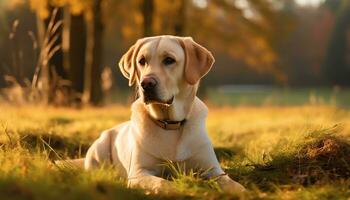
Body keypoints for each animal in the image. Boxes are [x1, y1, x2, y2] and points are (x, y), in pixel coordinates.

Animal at [65, 36, 243, 194]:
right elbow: (163, 183)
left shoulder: (213, 170)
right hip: (100, 150)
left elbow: (233, 184)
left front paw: (242, 191)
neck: (170, 123)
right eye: (141, 61)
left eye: (169, 60)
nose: (146, 84)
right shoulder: (139, 173)